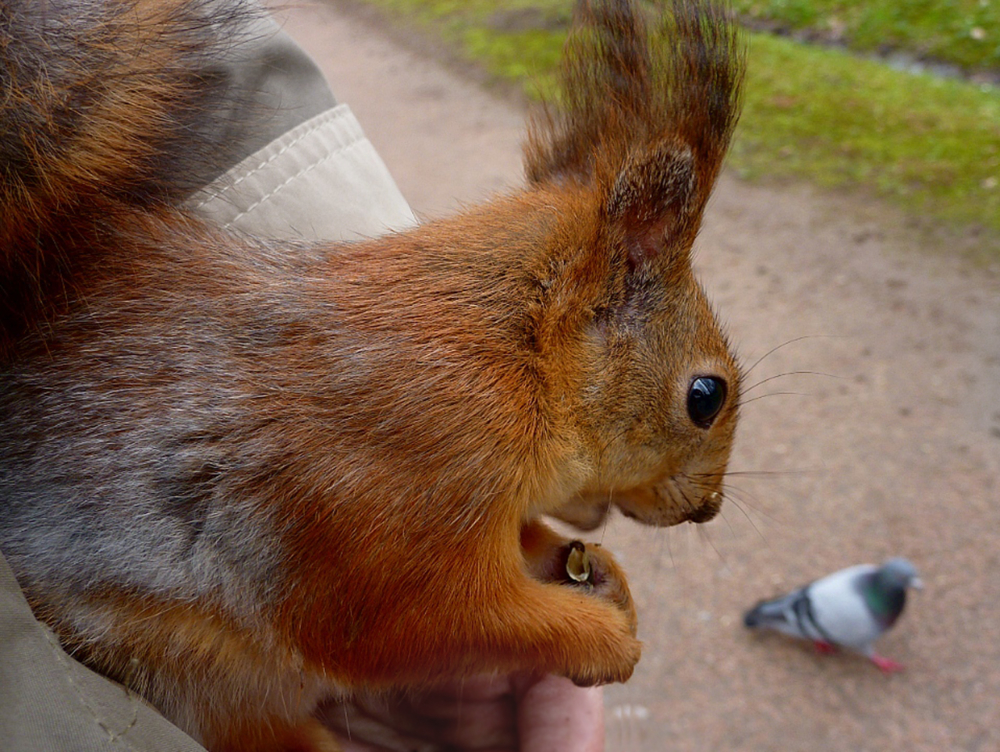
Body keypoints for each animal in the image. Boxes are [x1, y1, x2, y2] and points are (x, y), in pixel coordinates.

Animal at [0, 0, 744, 748]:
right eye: (705, 396)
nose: (707, 508)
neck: (516, 358)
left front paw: (597, 572)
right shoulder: (400, 492)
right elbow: (424, 624)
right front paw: (598, 639)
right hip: (192, 672)